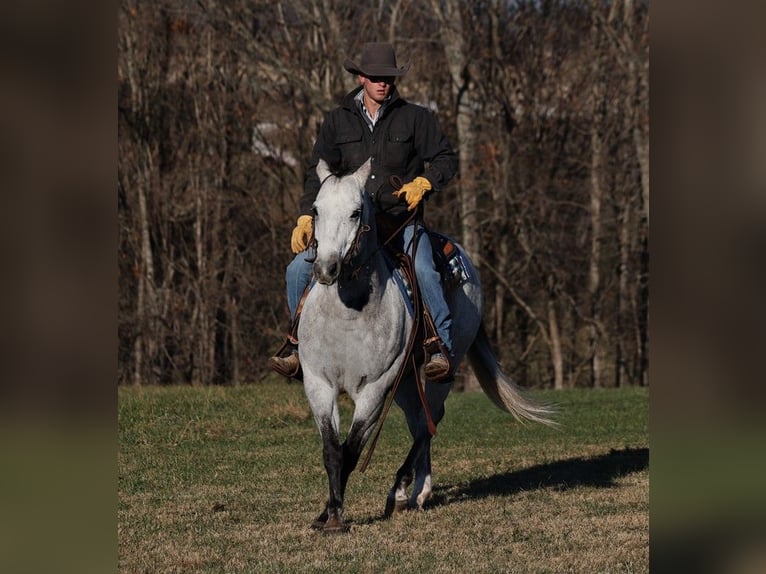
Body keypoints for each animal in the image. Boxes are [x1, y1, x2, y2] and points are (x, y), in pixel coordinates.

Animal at [296, 159, 556, 536]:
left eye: (356, 212)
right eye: (316, 210)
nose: (326, 268)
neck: (349, 311)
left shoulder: (374, 389)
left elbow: (353, 449)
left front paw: (337, 515)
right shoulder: (319, 384)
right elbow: (332, 451)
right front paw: (328, 513)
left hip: (439, 372)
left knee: (429, 422)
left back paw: (407, 491)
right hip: (405, 381)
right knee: (421, 421)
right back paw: (415, 491)